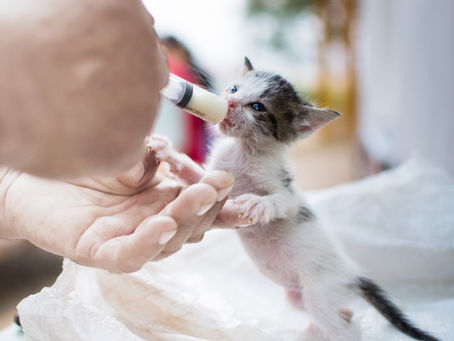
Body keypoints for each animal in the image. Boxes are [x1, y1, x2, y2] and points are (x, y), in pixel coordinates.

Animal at [148, 59, 440, 340]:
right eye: (234, 89)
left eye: (257, 106)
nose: (229, 103)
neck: (243, 151)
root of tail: (353, 276)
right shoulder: (216, 175)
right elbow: (194, 176)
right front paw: (169, 154)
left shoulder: (285, 191)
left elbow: (282, 202)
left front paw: (259, 203)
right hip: (298, 297)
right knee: (333, 312)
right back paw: (335, 319)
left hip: (319, 290)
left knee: (339, 328)